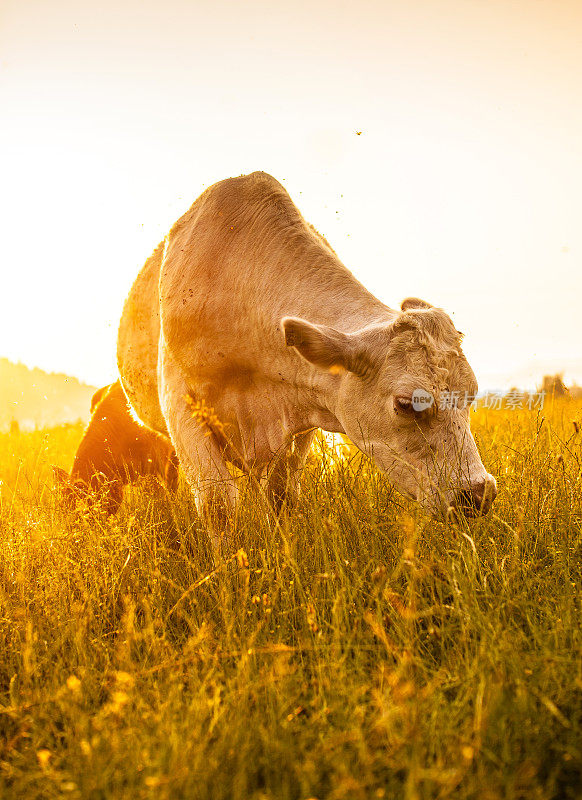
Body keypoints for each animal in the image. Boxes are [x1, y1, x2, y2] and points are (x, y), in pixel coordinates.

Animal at [117, 170, 498, 532]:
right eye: (406, 404)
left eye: (471, 395)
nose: (478, 494)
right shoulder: (180, 402)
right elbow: (218, 502)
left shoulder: (303, 407)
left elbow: (281, 494)